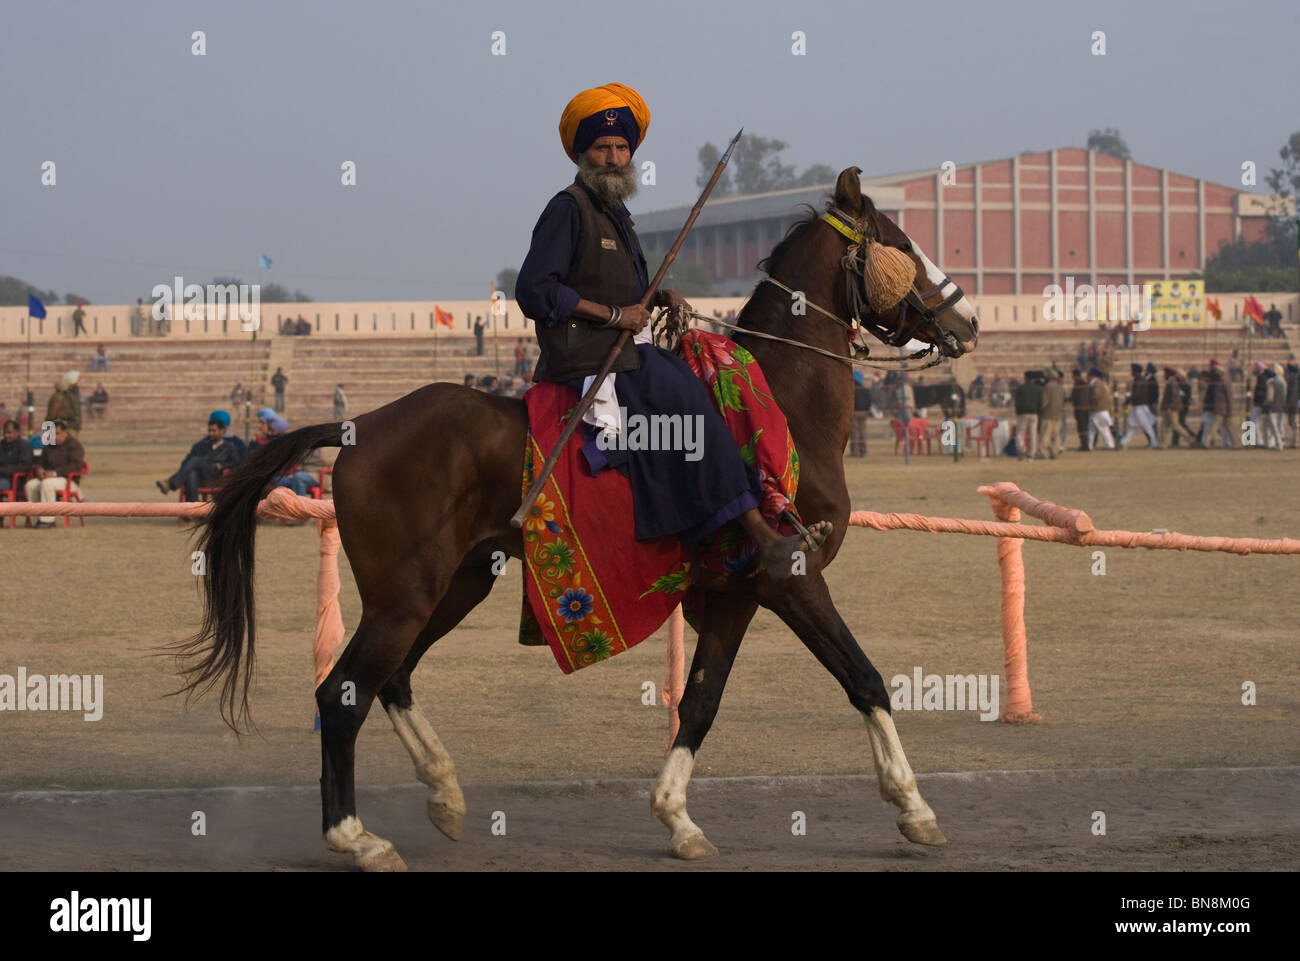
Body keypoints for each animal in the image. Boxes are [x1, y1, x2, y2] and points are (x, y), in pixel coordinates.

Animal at [178, 167, 977, 873]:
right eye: (902, 242)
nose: (965, 316)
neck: (780, 400)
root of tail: (354, 428)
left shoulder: (735, 595)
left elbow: (700, 703)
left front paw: (676, 817)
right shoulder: (792, 577)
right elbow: (864, 678)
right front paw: (915, 807)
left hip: (455, 584)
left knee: (394, 678)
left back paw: (443, 792)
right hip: (405, 595)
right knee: (342, 696)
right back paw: (358, 837)